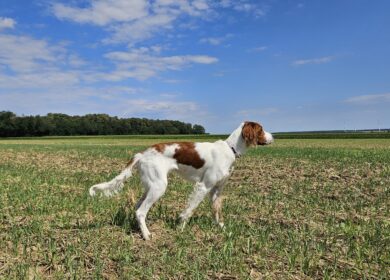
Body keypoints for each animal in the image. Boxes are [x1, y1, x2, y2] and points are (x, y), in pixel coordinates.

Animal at [88, 121, 272, 240]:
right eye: (261, 129)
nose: (273, 137)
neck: (230, 149)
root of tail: (142, 154)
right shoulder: (203, 186)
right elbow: (189, 210)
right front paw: (181, 228)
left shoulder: (216, 190)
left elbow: (216, 211)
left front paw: (221, 227)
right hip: (159, 187)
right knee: (140, 211)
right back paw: (147, 236)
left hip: (150, 186)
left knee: (137, 208)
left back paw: (139, 230)